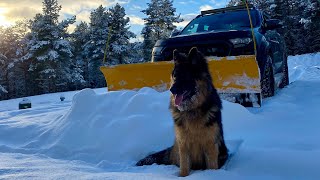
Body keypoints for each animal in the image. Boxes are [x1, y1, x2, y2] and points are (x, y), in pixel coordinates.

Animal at [135, 47, 228, 176]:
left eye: (185, 76)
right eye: (175, 76)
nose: (171, 89)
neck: (192, 110)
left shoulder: (211, 146)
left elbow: (212, 166)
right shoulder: (183, 144)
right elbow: (184, 167)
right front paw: (182, 177)